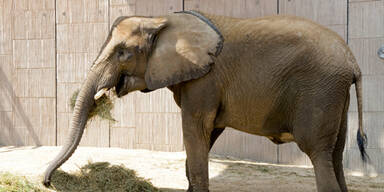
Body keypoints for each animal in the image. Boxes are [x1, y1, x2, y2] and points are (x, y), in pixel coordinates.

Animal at [43, 10, 368, 192]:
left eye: (123, 53)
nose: (47, 182)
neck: (162, 20)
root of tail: (353, 61)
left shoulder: (205, 81)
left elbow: (195, 129)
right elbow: (206, 135)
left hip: (320, 91)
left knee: (318, 154)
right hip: (335, 95)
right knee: (335, 156)